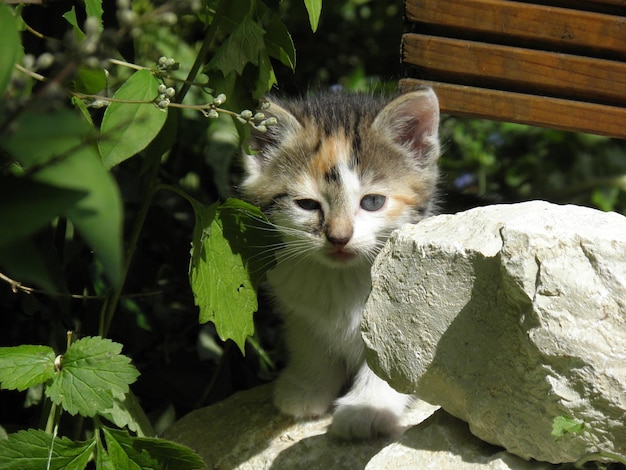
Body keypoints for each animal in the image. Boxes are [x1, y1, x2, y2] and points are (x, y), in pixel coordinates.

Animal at [239, 86, 438, 438]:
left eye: (372, 202)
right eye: (307, 205)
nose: (339, 237)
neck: (342, 278)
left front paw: (367, 410)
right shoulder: (297, 307)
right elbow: (310, 343)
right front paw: (307, 388)